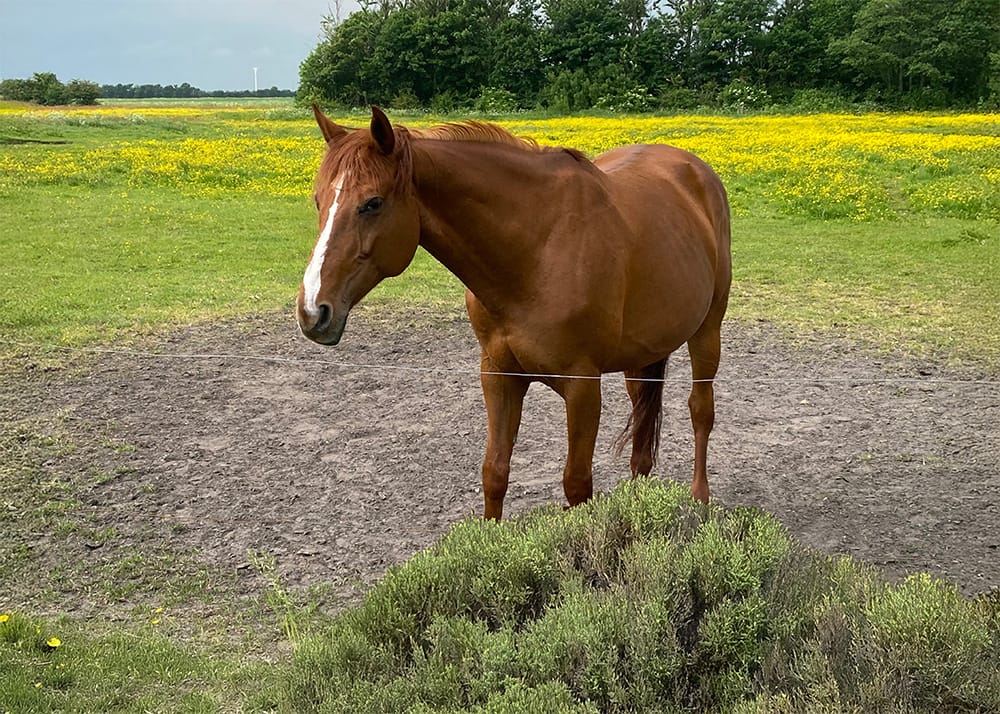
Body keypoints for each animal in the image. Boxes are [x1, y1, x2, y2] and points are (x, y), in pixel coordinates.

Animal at [297, 106, 732, 520]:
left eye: (372, 203)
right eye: (318, 200)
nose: (313, 311)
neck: (537, 251)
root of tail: (695, 169)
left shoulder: (582, 387)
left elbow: (577, 484)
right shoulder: (499, 376)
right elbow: (495, 472)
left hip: (707, 332)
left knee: (700, 411)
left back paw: (700, 497)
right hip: (640, 356)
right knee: (642, 424)